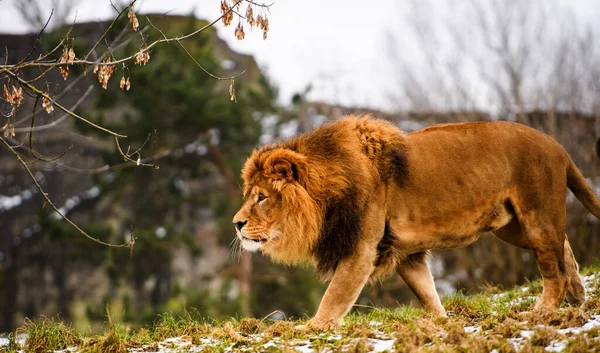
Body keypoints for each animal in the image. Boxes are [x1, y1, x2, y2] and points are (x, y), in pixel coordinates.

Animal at [231, 115, 600, 328]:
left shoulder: (361, 250)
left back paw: (543, 312)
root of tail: (557, 146)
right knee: (562, 245)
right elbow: (427, 291)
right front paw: (442, 323)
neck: (328, 192)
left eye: (261, 197)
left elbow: (333, 297)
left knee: (552, 269)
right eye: (250, 194)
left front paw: (313, 329)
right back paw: (578, 295)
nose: (236, 224)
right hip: (512, 227)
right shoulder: (405, 253)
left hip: (536, 215)